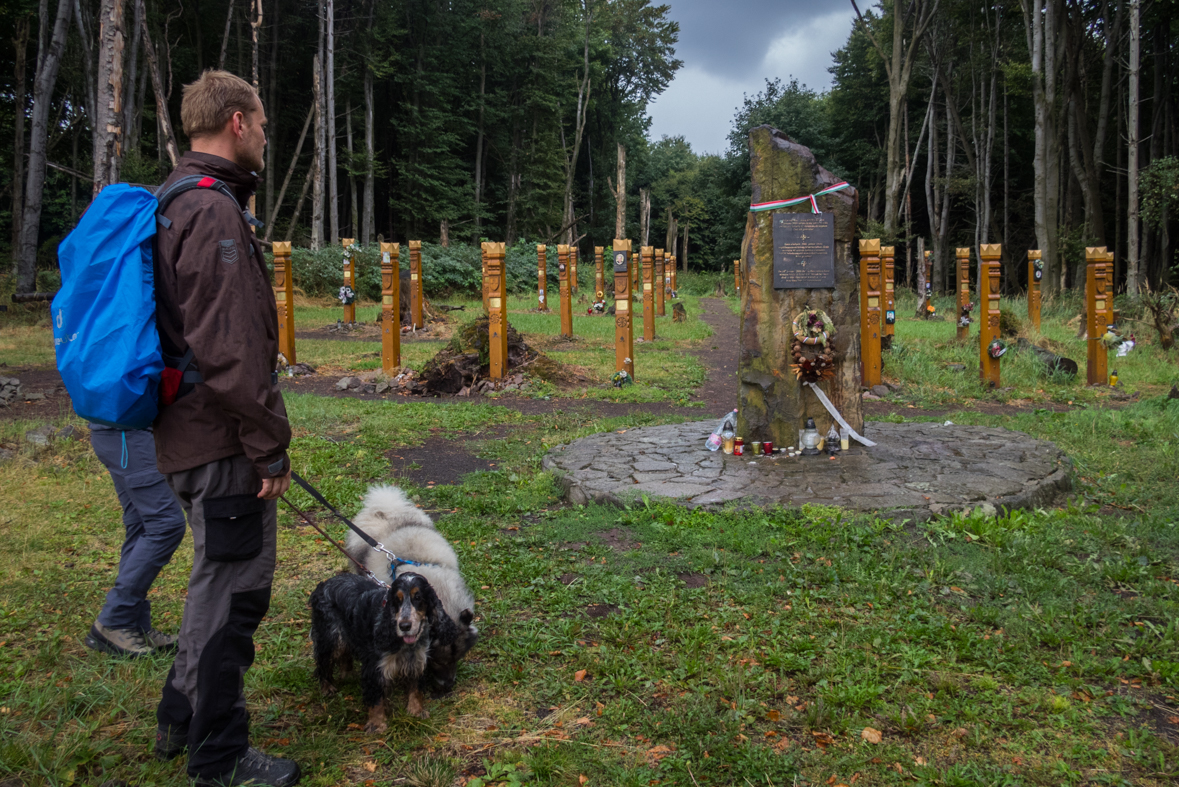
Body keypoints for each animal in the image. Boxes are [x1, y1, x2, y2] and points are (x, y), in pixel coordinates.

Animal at [311, 572, 476, 730]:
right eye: (397, 600)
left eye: (418, 598)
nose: (404, 626)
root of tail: (323, 584)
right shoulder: (375, 667)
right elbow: (376, 698)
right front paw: (377, 725)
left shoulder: (416, 660)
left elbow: (416, 690)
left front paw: (416, 712)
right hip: (331, 637)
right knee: (323, 662)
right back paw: (327, 688)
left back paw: (348, 675)